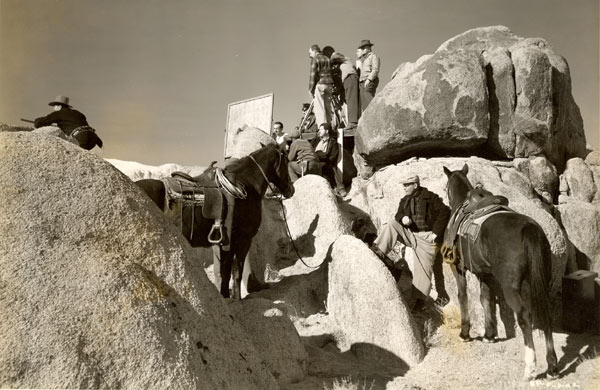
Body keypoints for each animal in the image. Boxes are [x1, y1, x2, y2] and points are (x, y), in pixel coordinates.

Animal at [137, 145, 296, 300]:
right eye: (287, 161)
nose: (291, 189)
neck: (246, 185)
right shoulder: (243, 240)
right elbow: (236, 272)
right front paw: (236, 298)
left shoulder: (222, 242)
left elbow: (223, 272)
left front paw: (225, 296)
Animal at [442, 163, 556, 380]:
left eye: (445, 188)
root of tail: (530, 228)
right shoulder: (484, 274)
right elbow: (485, 299)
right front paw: (489, 335)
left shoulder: (458, 268)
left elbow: (463, 297)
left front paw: (465, 333)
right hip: (541, 281)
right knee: (545, 312)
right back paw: (552, 365)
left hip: (510, 288)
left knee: (524, 316)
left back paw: (530, 367)